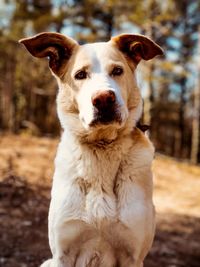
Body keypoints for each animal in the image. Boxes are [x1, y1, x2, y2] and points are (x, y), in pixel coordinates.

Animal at [19, 31, 162, 267]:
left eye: (117, 71)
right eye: (80, 75)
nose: (104, 99)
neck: (102, 145)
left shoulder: (132, 255)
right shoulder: (62, 254)